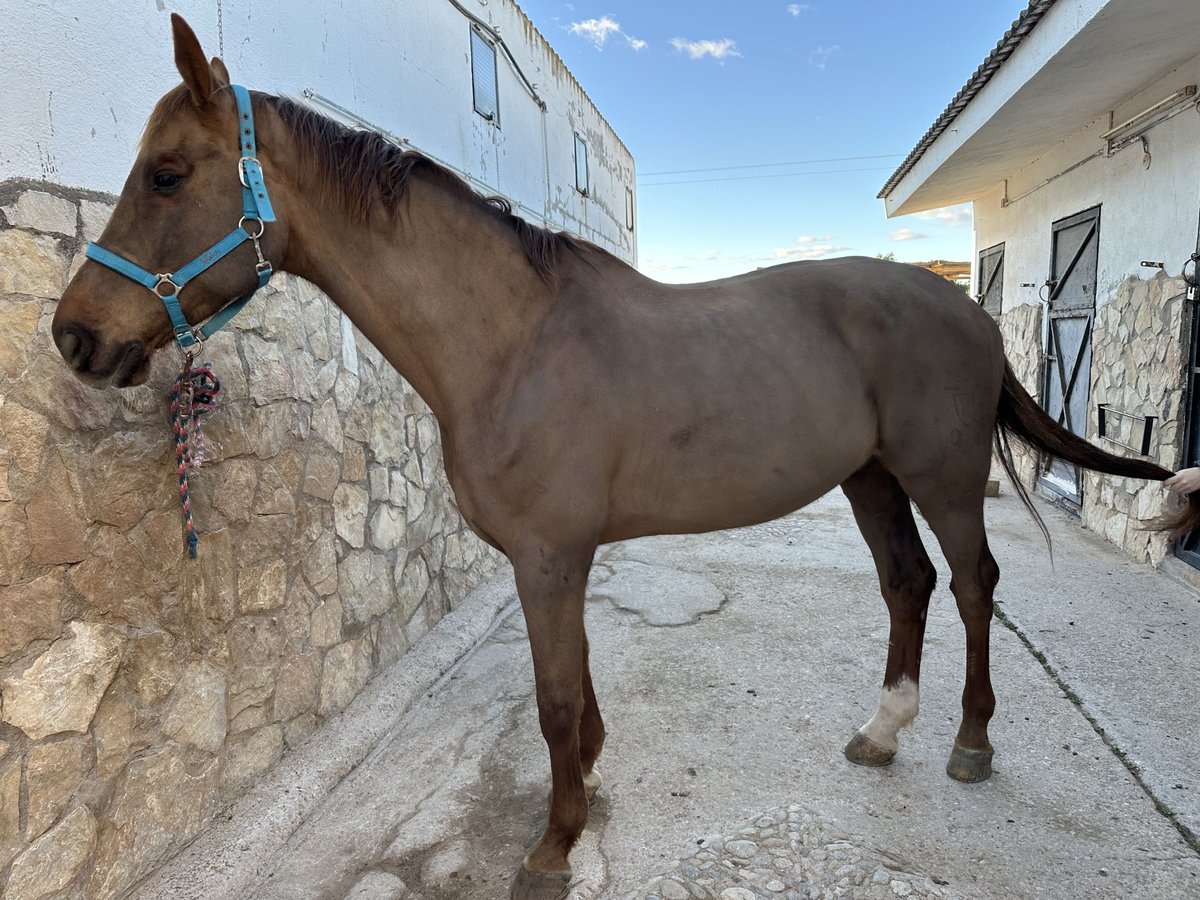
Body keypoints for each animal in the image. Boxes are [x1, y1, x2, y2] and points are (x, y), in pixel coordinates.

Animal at [51, 15, 1195, 900]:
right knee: (907, 584)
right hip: (868, 478)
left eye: (167, 174)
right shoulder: (560, 558)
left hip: (943, 475)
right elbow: (578, 683)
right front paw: (588, 784)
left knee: (971, 583)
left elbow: (554, 698)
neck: (511, 342)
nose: (74, 337)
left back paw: (970, 743)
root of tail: (966, 307)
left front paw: (553, 844)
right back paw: (882, 731)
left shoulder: (549, 556)